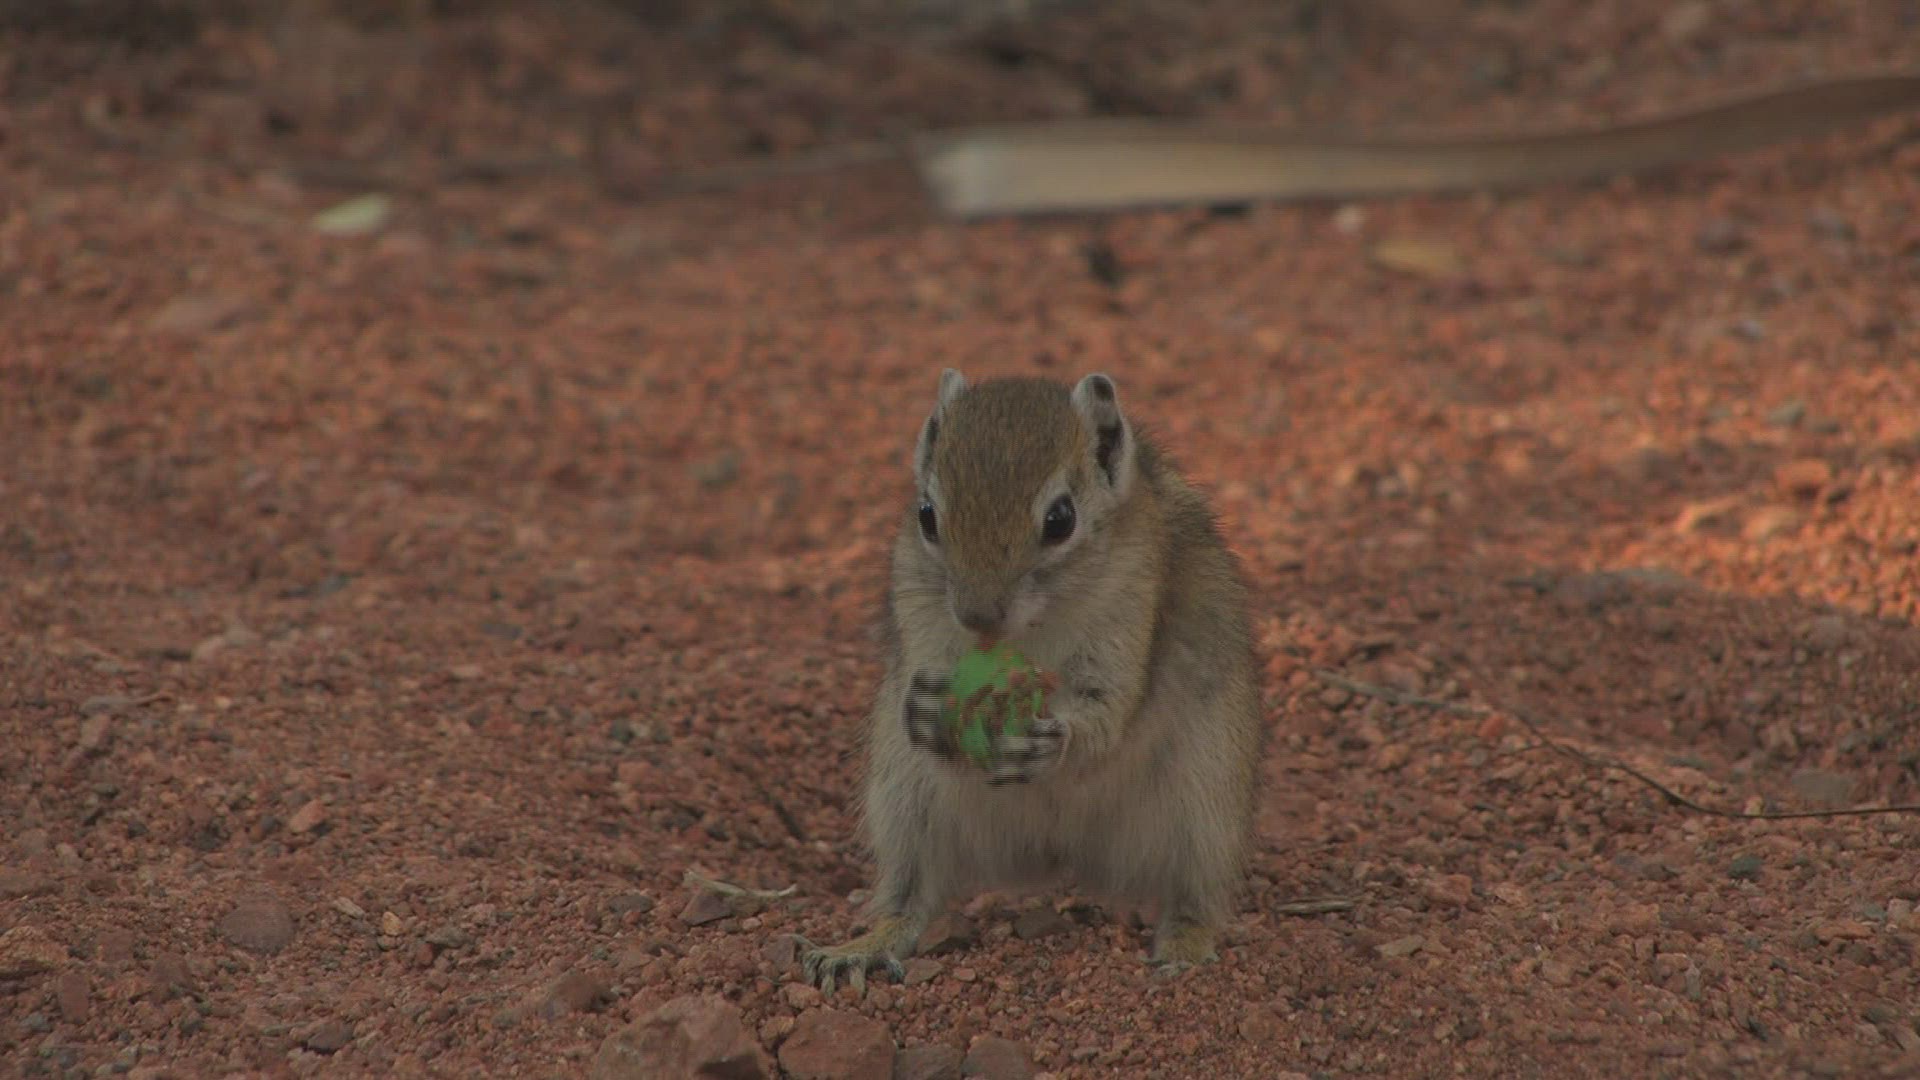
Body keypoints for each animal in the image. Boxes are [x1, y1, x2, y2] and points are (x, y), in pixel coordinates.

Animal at [797, 368, 1264, 993]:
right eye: (926, 516)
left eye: (1060, 520)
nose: (978, 617)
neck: (1031, 631)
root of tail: (1059, 855)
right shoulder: (921, 623)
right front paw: (924, 710)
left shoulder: (1124, 632)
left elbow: (1104, 720)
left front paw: (1049, 741)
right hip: (903, 802)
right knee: (909, 900)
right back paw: (859, 949)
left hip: (1206, 811)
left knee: (1194, 900)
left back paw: (1183, 951)